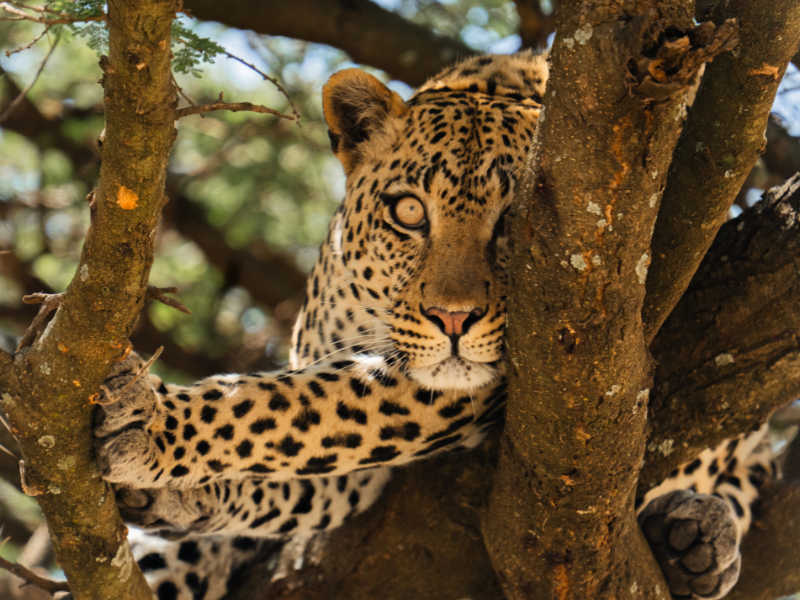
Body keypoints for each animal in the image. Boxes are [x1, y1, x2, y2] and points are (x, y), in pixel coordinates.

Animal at [92, 50, 777, 600]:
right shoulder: (354, 471)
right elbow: (281, 456)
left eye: (517, 220)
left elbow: (274, 409)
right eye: (409, 212)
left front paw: (152, 424)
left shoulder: (457, 391)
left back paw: (698, 540)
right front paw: (181, 490)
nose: (454, 317)